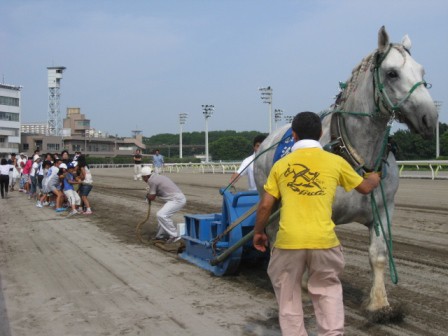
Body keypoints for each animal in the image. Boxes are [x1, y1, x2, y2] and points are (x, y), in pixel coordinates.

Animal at [254, 26, 440, 316]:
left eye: (422, 72)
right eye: (392, 73)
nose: (429, 119)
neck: (359, 159)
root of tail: (268, 140)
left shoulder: (384, 208)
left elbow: (377, 255)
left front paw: (379, 303)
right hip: (271, 201)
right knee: (274, 238)